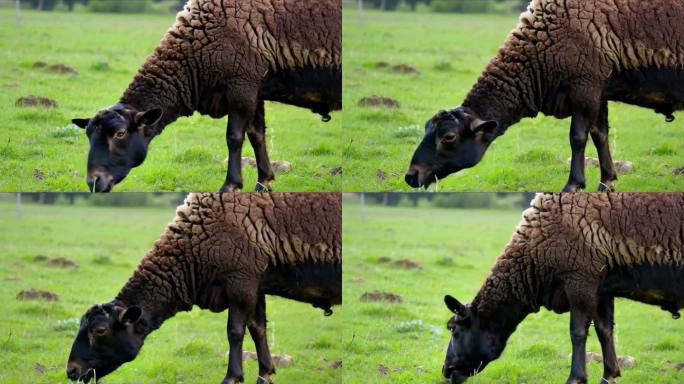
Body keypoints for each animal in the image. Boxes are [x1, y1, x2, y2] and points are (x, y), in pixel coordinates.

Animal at [65, 194, 342, 384]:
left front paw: (232, 377)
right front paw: (265, 374)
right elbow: (258, 329)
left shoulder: (240, 281)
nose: (71, 371)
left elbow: (235, 331)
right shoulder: (255, 284)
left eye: (100, 331)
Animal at [71, 0, 342, 192]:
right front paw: (264, 183)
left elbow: (234, 137)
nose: (93, 182)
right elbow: (257, 135)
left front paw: (230, 186)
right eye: (88, 134)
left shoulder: (240, 85)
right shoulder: (254, 88)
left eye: (120, 134)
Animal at [406, 0, 684, 192]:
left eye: (449, 137)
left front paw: (573, 185)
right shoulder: (597, 89)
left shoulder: (584, 86)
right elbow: (600, 135)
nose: (410, 176)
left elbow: (578, 137)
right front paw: (607, 183)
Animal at [440, 194, 680, 384]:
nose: (446, 370)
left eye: (453, 328)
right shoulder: (602, 289)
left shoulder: (580, 281)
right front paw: (609, 375)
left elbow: (577, 332)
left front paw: (576, 378)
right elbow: (605, 331)